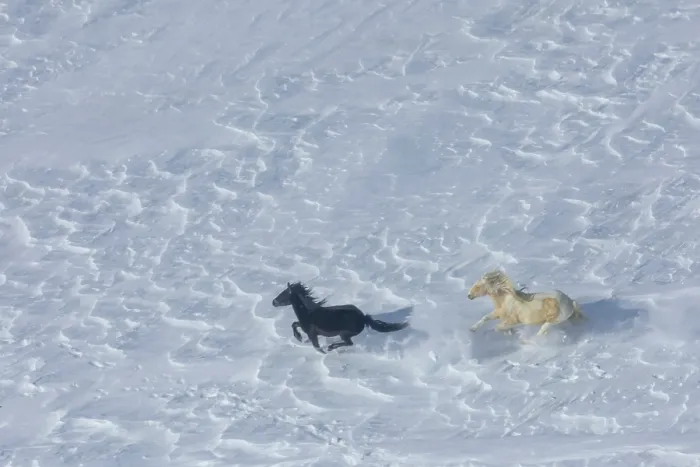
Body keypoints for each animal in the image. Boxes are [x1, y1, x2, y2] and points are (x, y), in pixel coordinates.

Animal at [272, 281, 409, 353]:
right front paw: (299, 337)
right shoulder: (304, 326)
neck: (309, 313)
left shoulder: (312, 333)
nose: (273, 302)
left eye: (283, 294)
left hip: (344, 334)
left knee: (349, 343)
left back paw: (331, 347)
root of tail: (363, 318)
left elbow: (316, 346)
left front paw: (322, 351)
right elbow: (294, 324)